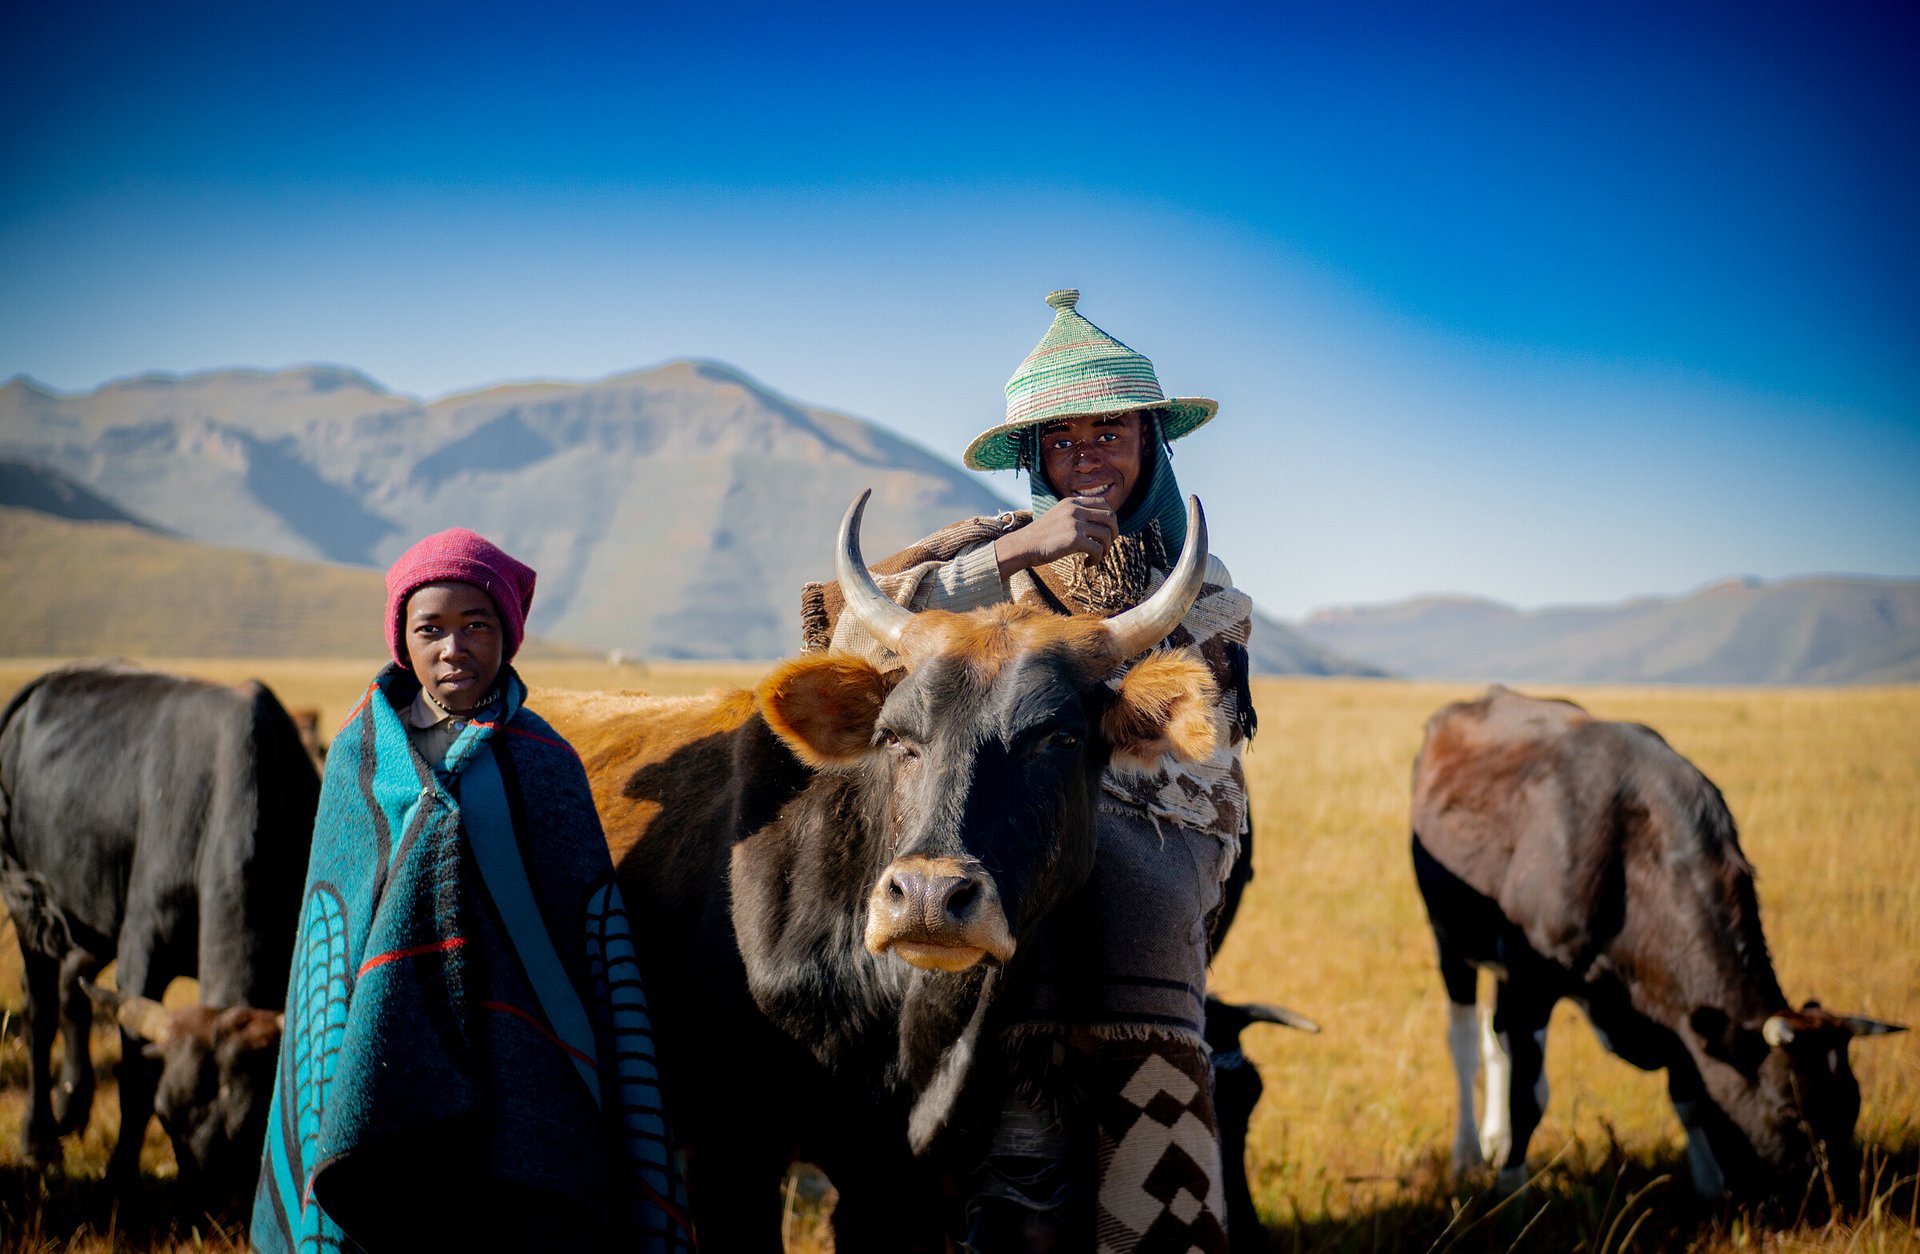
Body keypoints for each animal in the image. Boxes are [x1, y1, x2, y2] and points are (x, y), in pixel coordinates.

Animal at [0, 663, 320, 1202]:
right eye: (168, 1117)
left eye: (252, 1125)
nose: (210, 1203)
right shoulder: (141, 951)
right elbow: (134, 1076)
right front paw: (118, 1176)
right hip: (29, 907)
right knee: (40, 1009)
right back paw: (37, 1138)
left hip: (91, 914)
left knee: (72, 989)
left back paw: (72, 1102)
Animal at [1410, 685, 1904, 1208]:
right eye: (1790, 1111)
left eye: (1852, 1105)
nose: (1835, 1200)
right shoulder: (1532, 977)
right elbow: (1529, 1094)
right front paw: (1512, 1188)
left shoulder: (1677, 1004)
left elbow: (1689, 1093)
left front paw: (1711, 1184)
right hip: (1450, 939)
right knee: (1466, 1041)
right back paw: (1468, 1153)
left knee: (1497, 1035)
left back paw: (1494, 1139)